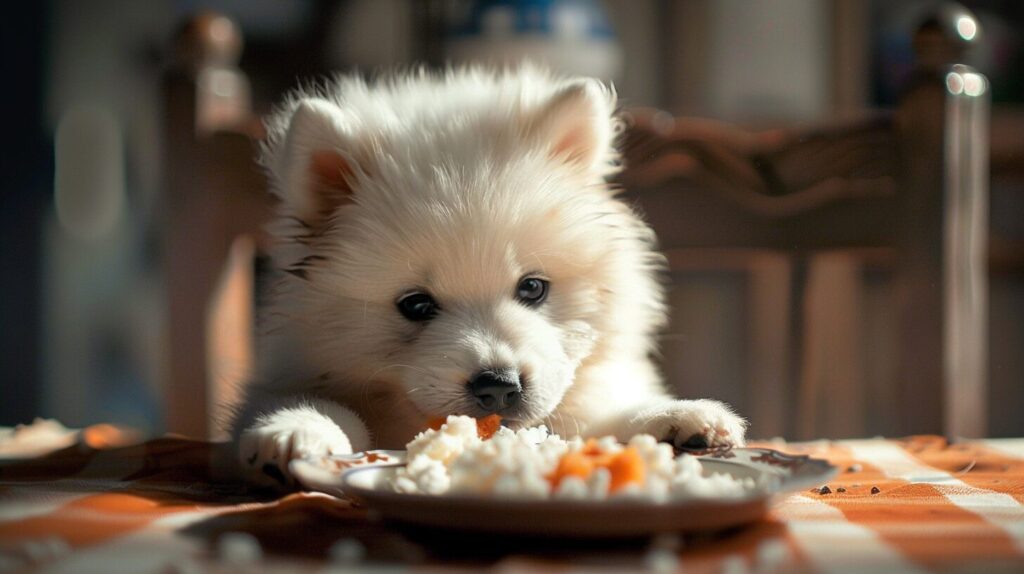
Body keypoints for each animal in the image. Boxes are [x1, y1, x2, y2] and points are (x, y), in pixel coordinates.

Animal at [230, 68, 745, 487]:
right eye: (416, 305)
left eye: (533, 287)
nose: (497, 385)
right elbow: (317, 404)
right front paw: (297, 430)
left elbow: (605, 414)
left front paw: (679, 417)